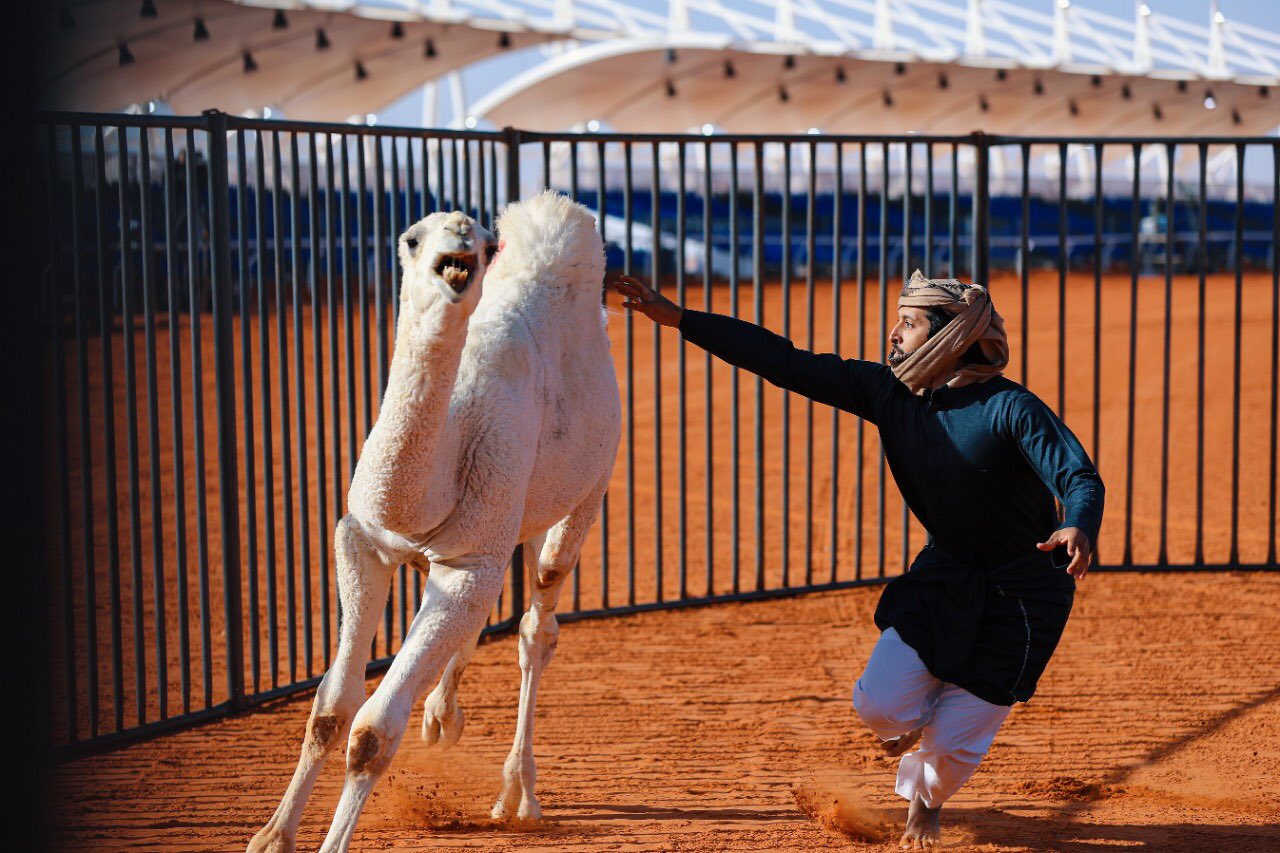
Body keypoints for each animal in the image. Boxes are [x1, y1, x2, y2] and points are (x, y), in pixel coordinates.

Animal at [247, 194, 622, 850]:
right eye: (411, 237)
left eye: (483, 242)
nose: (460, 243)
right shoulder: (364, 541)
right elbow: (329, 708)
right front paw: (271, 837)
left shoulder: (468, 561)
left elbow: (371, 732)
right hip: (512, 518)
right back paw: (444, 717)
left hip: (588, 489)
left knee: (538, 620)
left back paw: (519, 796)